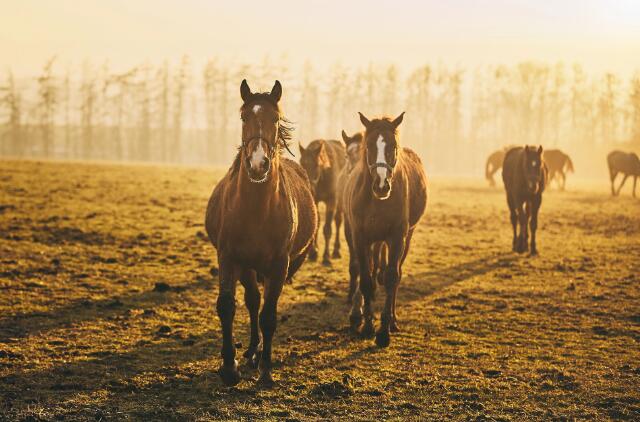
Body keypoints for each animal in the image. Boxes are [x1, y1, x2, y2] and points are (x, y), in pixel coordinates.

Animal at [204, 79, 316, 386]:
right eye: (244, 117)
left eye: (275, 118)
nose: (257, 164)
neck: (255, 208)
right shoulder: (229, 258)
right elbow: (227, 306)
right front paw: (229, 367)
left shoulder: (279, 265)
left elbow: (269, 315)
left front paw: (266, 370)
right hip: (247, 266)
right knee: (252, 300)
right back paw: (252, 350)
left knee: (261, 304)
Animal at [342, 111, 428, 346]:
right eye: (369, 145)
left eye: (393, 146)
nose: (381, 186)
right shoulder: (360, 237)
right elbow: (365, 278)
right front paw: (367, 325)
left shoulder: (397, 237)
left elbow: (391, 278)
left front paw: (383, 331)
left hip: (407, 236)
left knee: (396, 274)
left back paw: (392, 320)